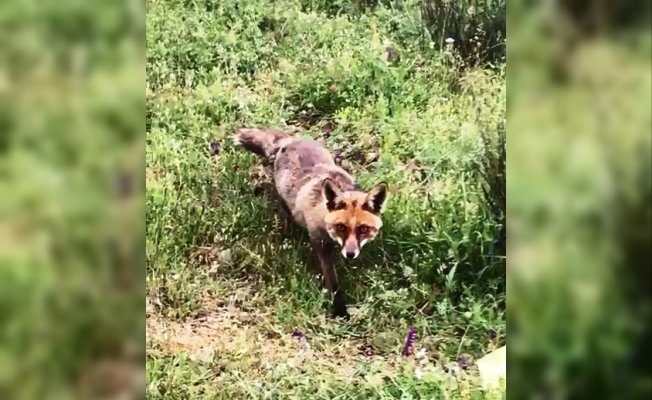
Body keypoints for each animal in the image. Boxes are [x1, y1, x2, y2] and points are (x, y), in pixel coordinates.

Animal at [233, 128, 390, 318]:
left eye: (364, 229)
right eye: (340, 228)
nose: (350, 254)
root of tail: (291, 140)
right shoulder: (320, 243)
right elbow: (333, 282)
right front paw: (339, 310)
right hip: (284, 197)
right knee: (288, 214)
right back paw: (287, 232)